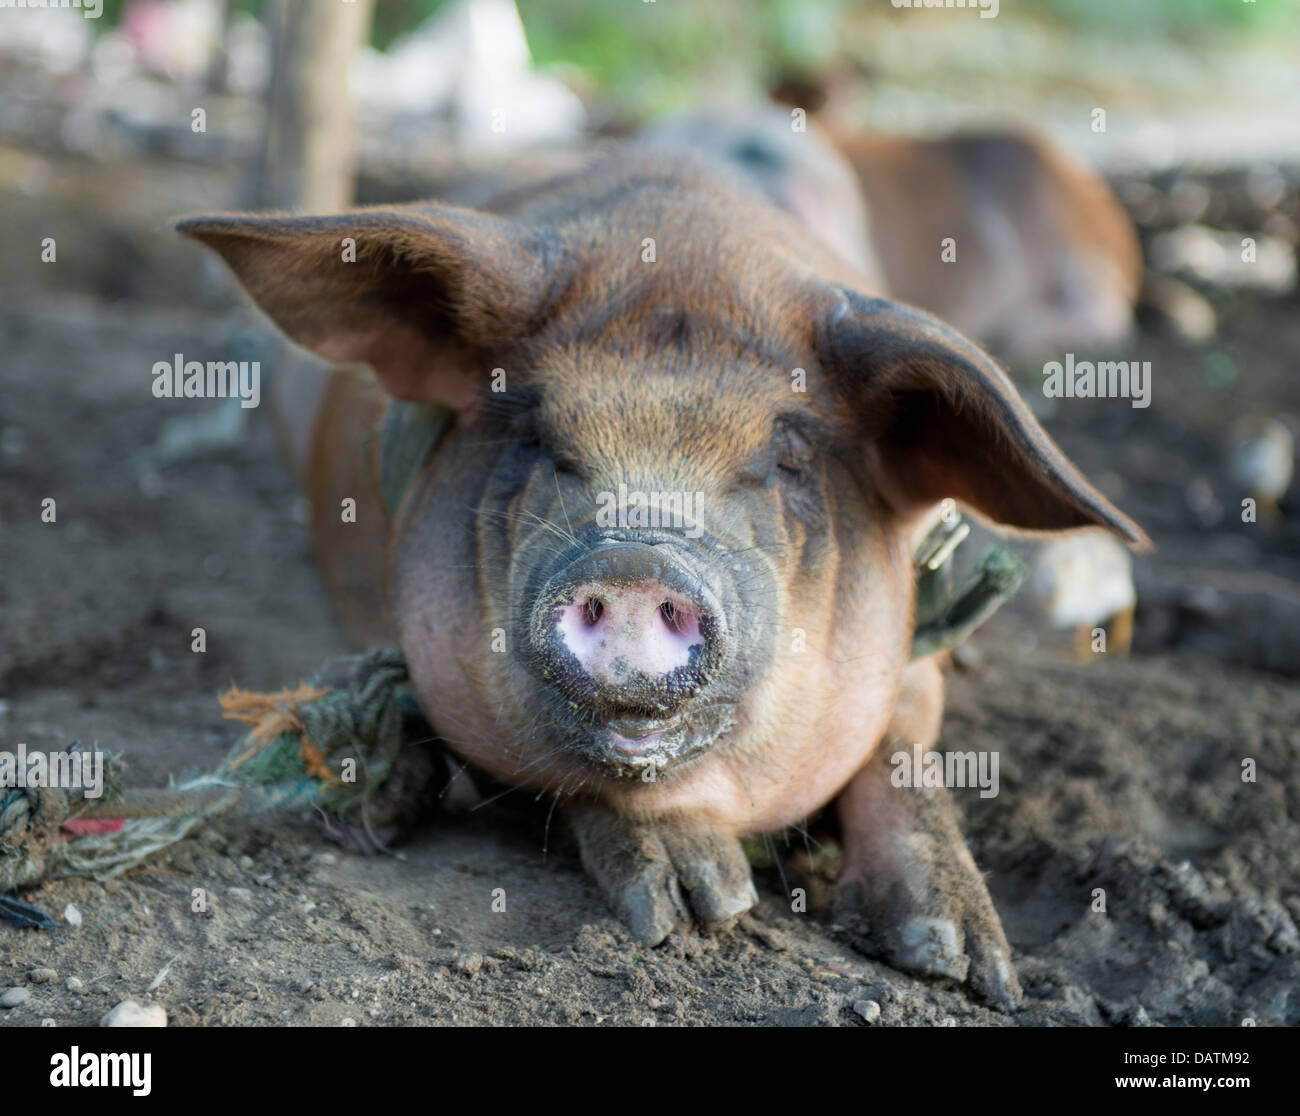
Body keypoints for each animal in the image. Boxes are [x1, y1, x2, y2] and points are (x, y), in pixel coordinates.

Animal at [178, 143, 1146, 1010]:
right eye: (536, 436)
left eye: (786, 459)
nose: (638, 557)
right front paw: (696, 908)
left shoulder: (916, 642)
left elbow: (904, 746)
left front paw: (964, 967)